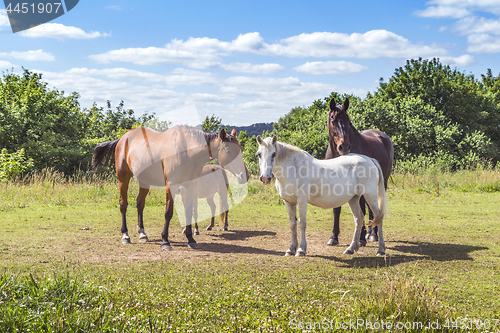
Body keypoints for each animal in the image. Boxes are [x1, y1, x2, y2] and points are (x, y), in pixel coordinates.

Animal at [91, 124, 249, 249]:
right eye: (228, 151)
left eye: (241, 149)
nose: (244, 176)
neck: (186, 150)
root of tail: (123, 138)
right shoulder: (172, 185)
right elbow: (169, 212)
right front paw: (165, 241)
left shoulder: (191, 185)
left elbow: (189, 211)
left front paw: (191, 239)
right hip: (123, 179)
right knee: (123, 204)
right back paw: (125, 235)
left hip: (144, 181)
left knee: (140, 204)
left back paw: (142, 233)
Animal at [256, 136, 388, 255]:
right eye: (259, 154)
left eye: (273, 154)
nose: (265, 178)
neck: (293, 168)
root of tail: (370, 159)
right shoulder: (288, 202)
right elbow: (292, 225)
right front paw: (291, 249)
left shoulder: (302, 200)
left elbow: (302, 224)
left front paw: (301, 249)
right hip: (353, 199)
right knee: (358, 219)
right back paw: (350, 249)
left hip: (370, 196)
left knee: (379, 217)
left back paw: (380, 250)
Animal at [324, 97, 394, 245]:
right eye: (333, 120)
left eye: (348, 121)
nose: (344, 147)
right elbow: (336, 209)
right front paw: (333, 237)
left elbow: (361, 210)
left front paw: (360, 238)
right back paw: (370, 233)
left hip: (381, 182)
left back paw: (373, 234)